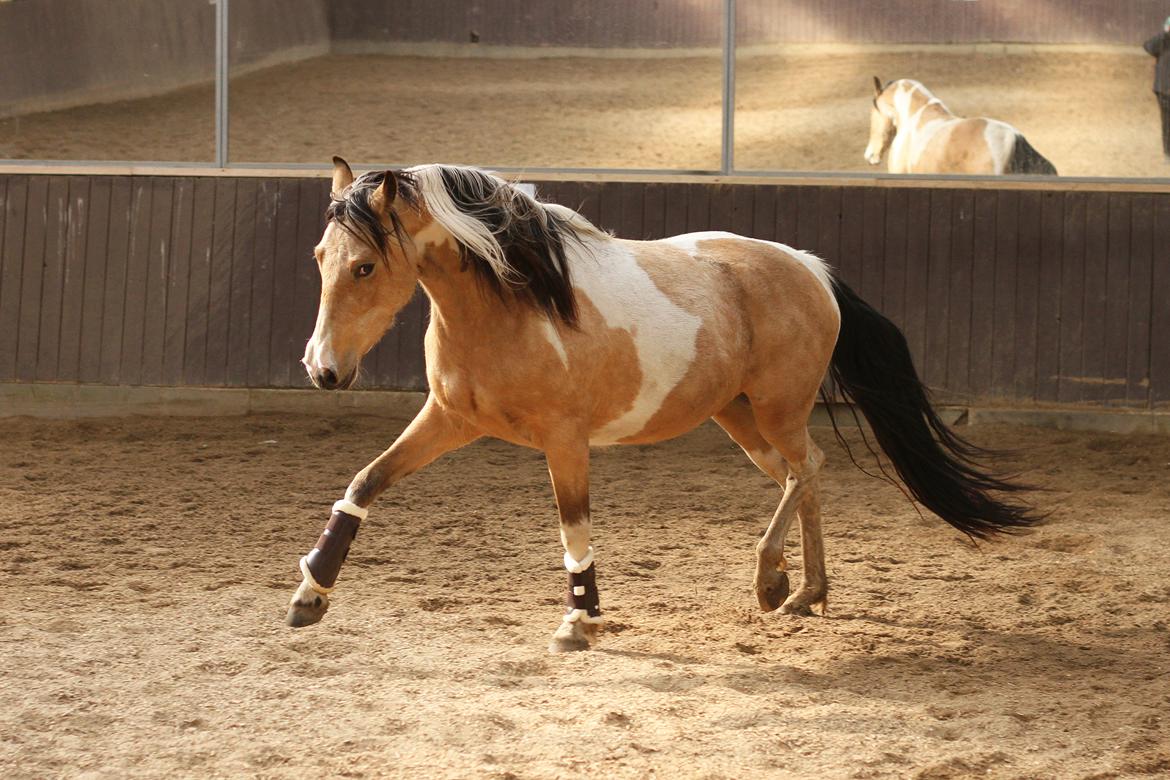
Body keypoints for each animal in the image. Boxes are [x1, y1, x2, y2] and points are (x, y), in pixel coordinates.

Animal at [287, 156, 1038, 654]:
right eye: (320, 255)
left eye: (364, 266)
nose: (323, 370)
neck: (513, 304)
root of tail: (809, 268)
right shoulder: (450, 420)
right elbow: (366, 482)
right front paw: (310, 595)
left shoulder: (565, 440)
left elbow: (573, 527)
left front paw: (580, 622)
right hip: (739, 416)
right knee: (802, 478)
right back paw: (802, 592)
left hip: (776, 408)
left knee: (810, 468)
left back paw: (774, 580)